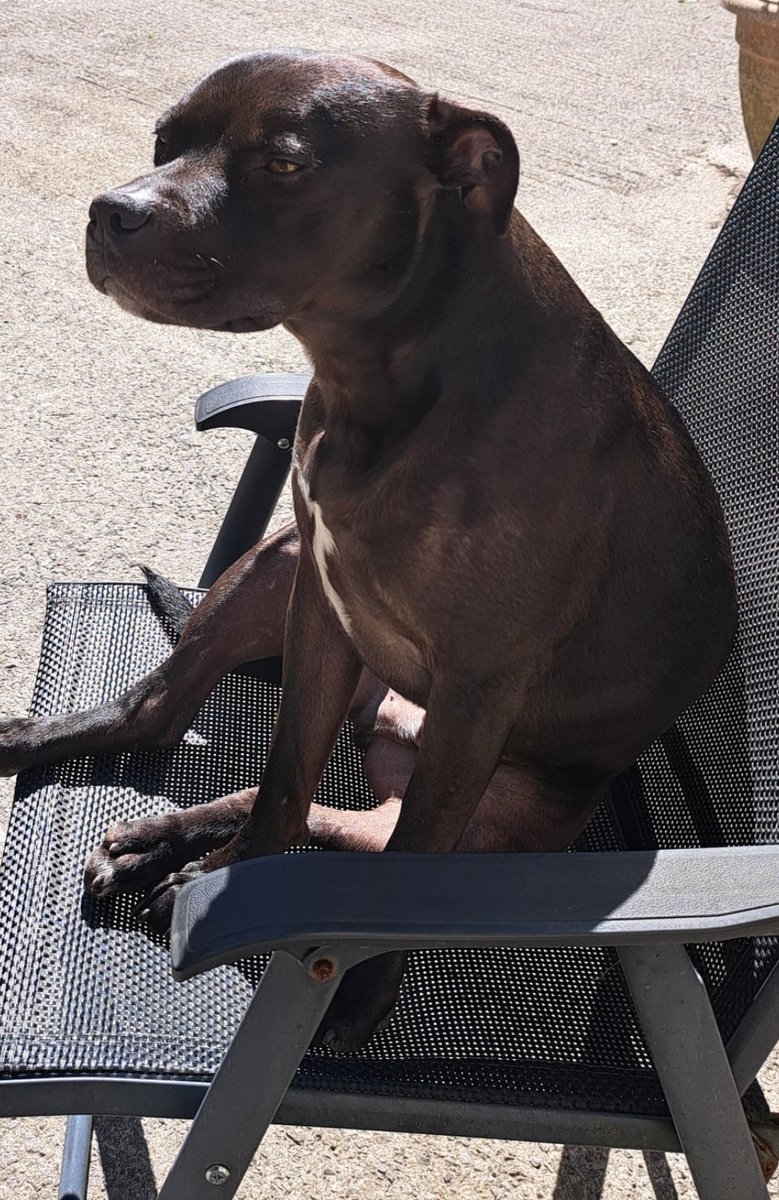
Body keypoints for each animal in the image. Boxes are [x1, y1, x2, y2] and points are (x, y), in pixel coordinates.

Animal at [0, 54, 734, 1051]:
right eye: (163, 142)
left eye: (282, 164)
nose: (113, 210)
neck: (385, 382)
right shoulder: (320, 603)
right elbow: (280, 777)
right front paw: (235, 872)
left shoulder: (475, 693)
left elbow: (406, 876)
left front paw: (357, 989)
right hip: (269, 572)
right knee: (164, 716)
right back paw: (146, 830)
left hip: (494, 812)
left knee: (367, 840)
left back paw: (173, 853)